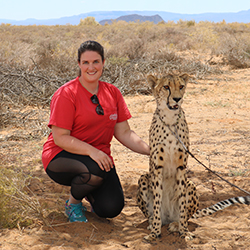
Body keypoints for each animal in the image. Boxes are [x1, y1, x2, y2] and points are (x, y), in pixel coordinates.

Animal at [137, 73, 250, 241]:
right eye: (166, 87)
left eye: (181, 86)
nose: (177, 99)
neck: (170, 120)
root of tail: (168, 218)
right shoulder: (157, 167)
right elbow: (157, 203)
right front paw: (155, 233)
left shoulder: (181, 167)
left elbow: (182, 203)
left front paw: (184, 232)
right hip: (144, 178)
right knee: (152, 213)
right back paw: (153, 224)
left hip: (191, 184)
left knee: (184, 213)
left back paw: (176, 224)